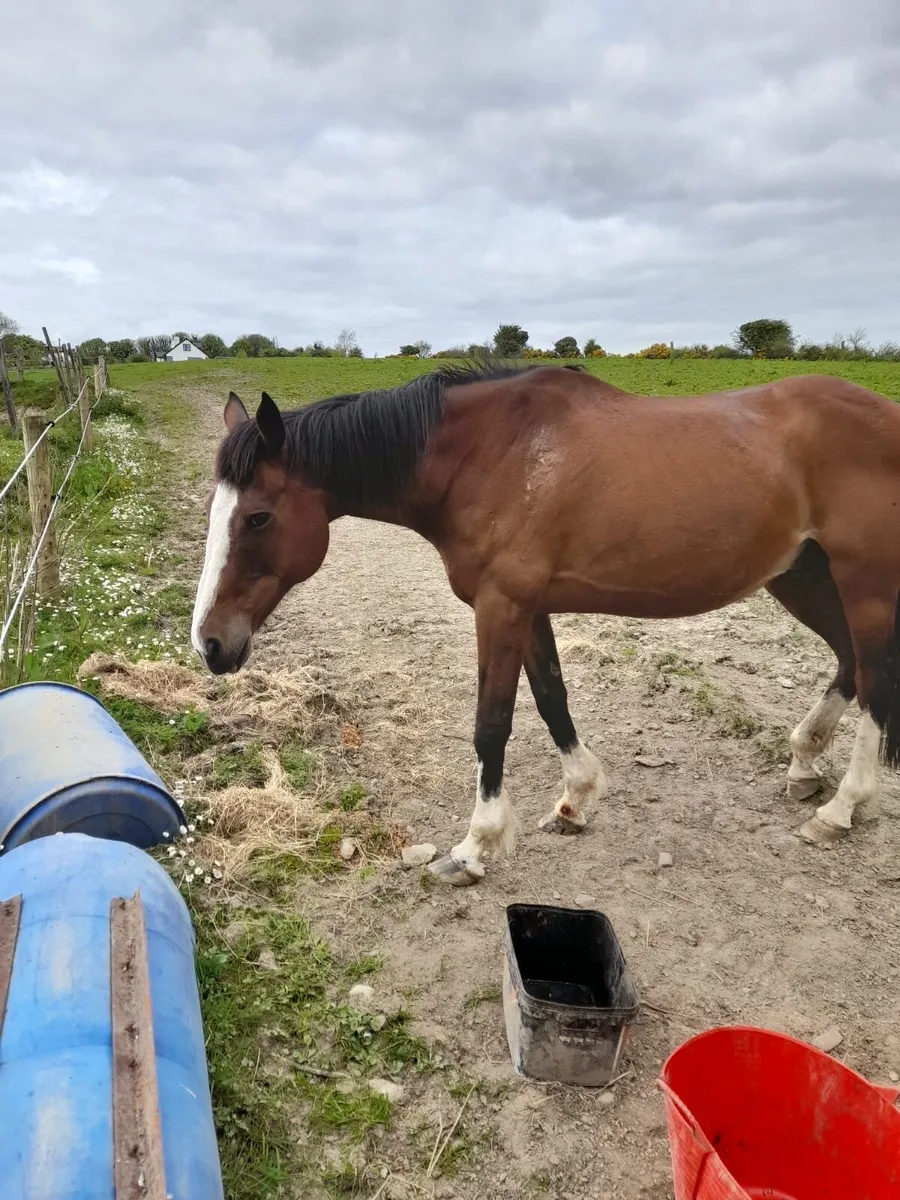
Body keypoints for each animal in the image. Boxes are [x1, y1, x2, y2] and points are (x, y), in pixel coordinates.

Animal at [191, 362, 900, 886]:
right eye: (215, 511)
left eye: (257, 517)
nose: (211, 644)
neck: (489, 456)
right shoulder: (527, 609)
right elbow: (552, 697)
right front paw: (575, 801)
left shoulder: (500, 607)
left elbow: (493, 724)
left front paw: (474, 848)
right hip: (802, 576)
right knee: (849, 664)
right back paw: (804, 764)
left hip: (863, 584)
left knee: (875, 683)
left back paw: (842, 807)